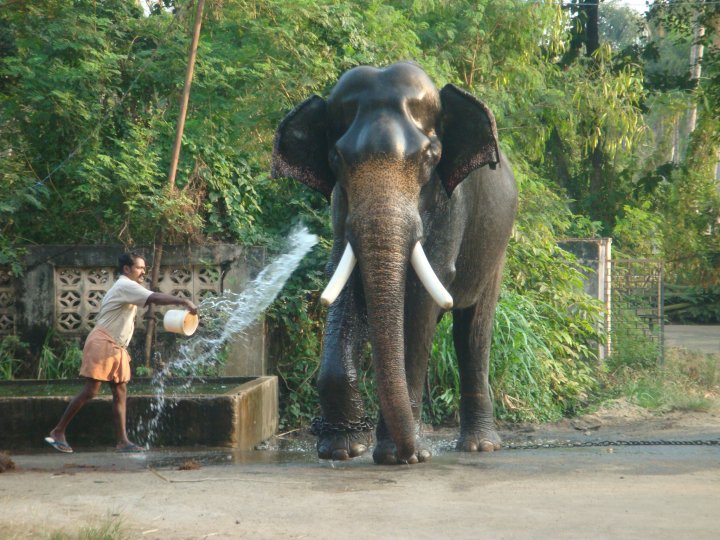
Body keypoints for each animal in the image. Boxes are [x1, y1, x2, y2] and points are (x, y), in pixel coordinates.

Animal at [272, 62, 516, 464]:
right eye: (337, 159)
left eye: (429, 158)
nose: (408, 451)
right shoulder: (341, 205)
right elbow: (343, 281)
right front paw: (342, 449)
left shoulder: (451, 204)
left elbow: (420, 298)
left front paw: (403, 456)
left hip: (497, 244)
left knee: (473, 330)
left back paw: (479, 446)